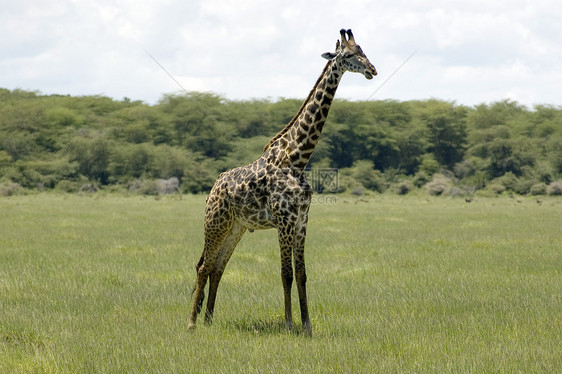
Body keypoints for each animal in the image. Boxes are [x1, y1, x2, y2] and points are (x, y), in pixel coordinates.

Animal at [188, 27, 376, 334]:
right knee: (203, 265)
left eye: (364, 51)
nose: (372, 70)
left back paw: (209, 321)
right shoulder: (285, 221)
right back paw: (192, 323)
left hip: (237, 227)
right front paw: (289, 324)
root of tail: (214, 187)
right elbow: (285, 273)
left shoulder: (301, 222)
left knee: (217, 267)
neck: (298, 159)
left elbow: (302, 274)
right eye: (349, 55)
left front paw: (307, 325)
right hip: (215, 222)